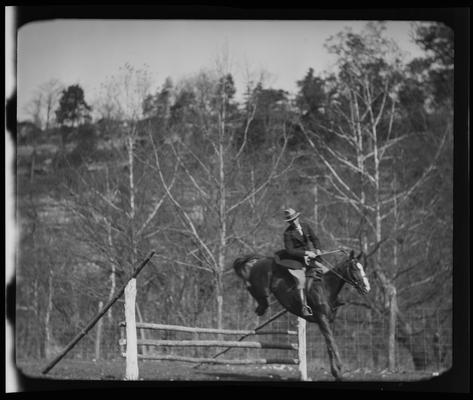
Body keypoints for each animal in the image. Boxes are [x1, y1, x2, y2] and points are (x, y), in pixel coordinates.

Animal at [232, 248, 368, 380]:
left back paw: (260, 308)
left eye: (362, 268)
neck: (326, 288)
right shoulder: (322, 319)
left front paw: (336, 373)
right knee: (251, 286)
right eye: (355, 268)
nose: (366, 288)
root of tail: (264, 259)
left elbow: (329, 344)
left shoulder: (328, 321)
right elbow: (332, 344)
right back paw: (260, 306)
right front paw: (340, 367)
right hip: (261, 285)